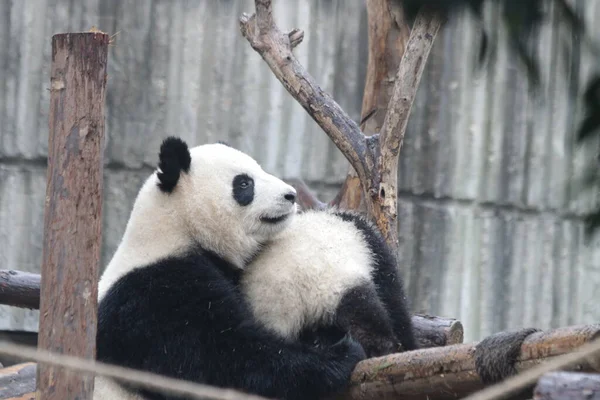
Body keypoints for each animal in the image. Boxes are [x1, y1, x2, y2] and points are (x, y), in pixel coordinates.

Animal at [94, 138, 366, 400]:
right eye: (244, 183)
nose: (290, 195)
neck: (174, 228)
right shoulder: (152, 297)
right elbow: (219, 359)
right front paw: (340, 354)